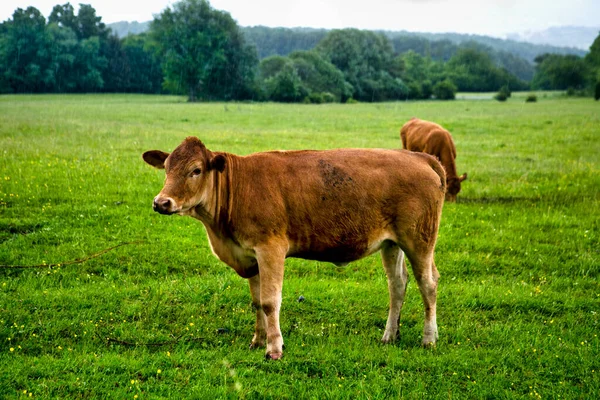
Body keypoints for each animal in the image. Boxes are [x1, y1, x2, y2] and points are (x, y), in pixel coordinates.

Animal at [143, 138, 448, 360]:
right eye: (167, 168)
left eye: (196, 170)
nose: (161, 202)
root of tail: (418, 157)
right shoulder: (251, 255)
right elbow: (257, 301)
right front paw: (258, 340)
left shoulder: (271, 249)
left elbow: (270, 301)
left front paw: (274, 348)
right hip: (392, 244)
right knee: (397, 284)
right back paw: (389, 336)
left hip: (419, 239)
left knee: (428, 283)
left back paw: (429, 338)